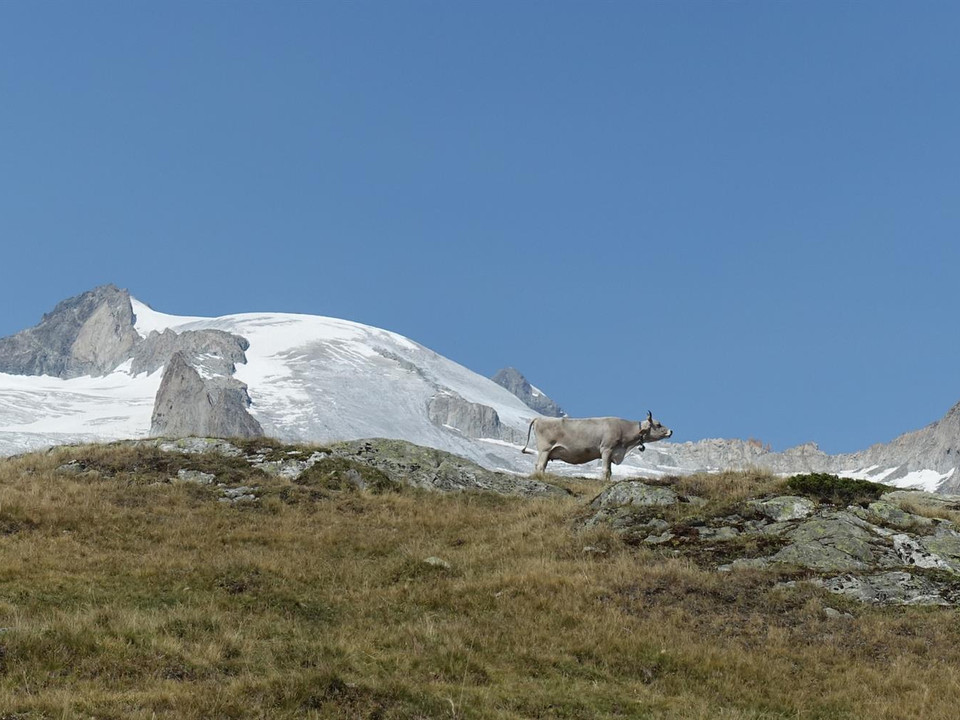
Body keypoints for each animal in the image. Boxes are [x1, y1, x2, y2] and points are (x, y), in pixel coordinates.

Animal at [521, 411, 672, 480]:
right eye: (658, 424)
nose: (671, 431)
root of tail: (539, 418)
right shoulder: (606, 449)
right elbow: (605, 470)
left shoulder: (612, 453)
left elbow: (610, 471)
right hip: (545, 449)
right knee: (540, 466)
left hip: (545, 452)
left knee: (539, 465)